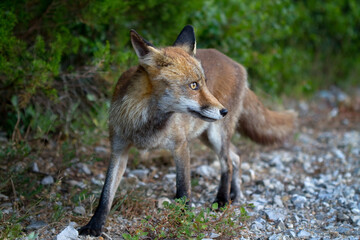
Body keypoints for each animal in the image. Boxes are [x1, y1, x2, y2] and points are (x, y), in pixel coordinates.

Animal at [79, 25, 296, 235]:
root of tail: (237, 64)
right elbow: (106, 194)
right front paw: (94, 225)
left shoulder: (180, 146)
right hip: (206, 137)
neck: (146, 122)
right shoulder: (118, 149)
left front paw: (183, 220)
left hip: (216, 136)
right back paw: (234, 194)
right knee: (236, 156)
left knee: (227, 163)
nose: (224, 110)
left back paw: (222, 200)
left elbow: (183, 191)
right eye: (193, 85)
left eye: (204, 84)